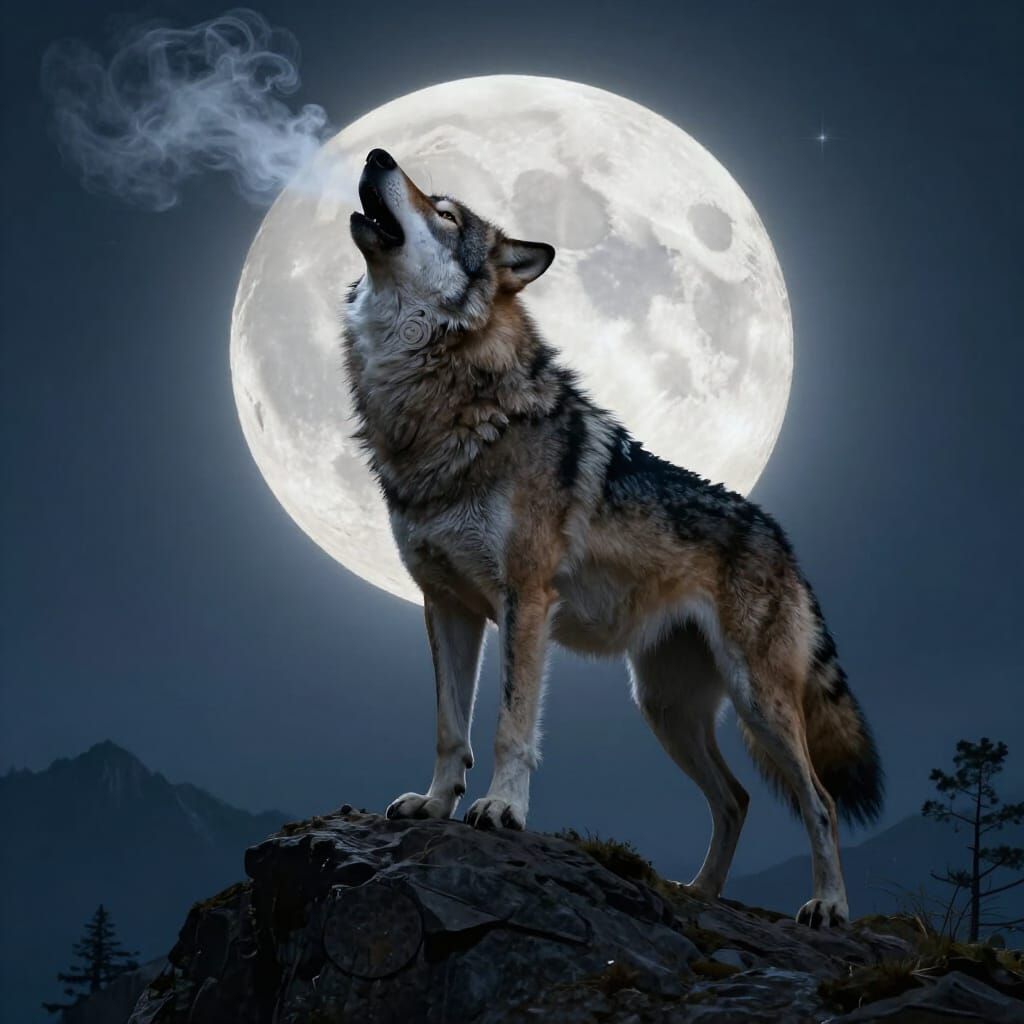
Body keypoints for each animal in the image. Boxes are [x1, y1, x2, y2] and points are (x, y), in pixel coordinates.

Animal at [342, 148, 883, 927]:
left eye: (444, 212)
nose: (377, 154)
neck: (437, 403)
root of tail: (782, 539)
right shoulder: (446, 605)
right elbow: (451, 727)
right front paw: (435, 804)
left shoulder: (524, 599)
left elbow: (509, 725)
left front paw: (502, 810)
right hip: (664, 708)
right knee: (736, 799)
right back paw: (700, 892)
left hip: (759, 703)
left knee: (822, 802)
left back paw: (829, 908)